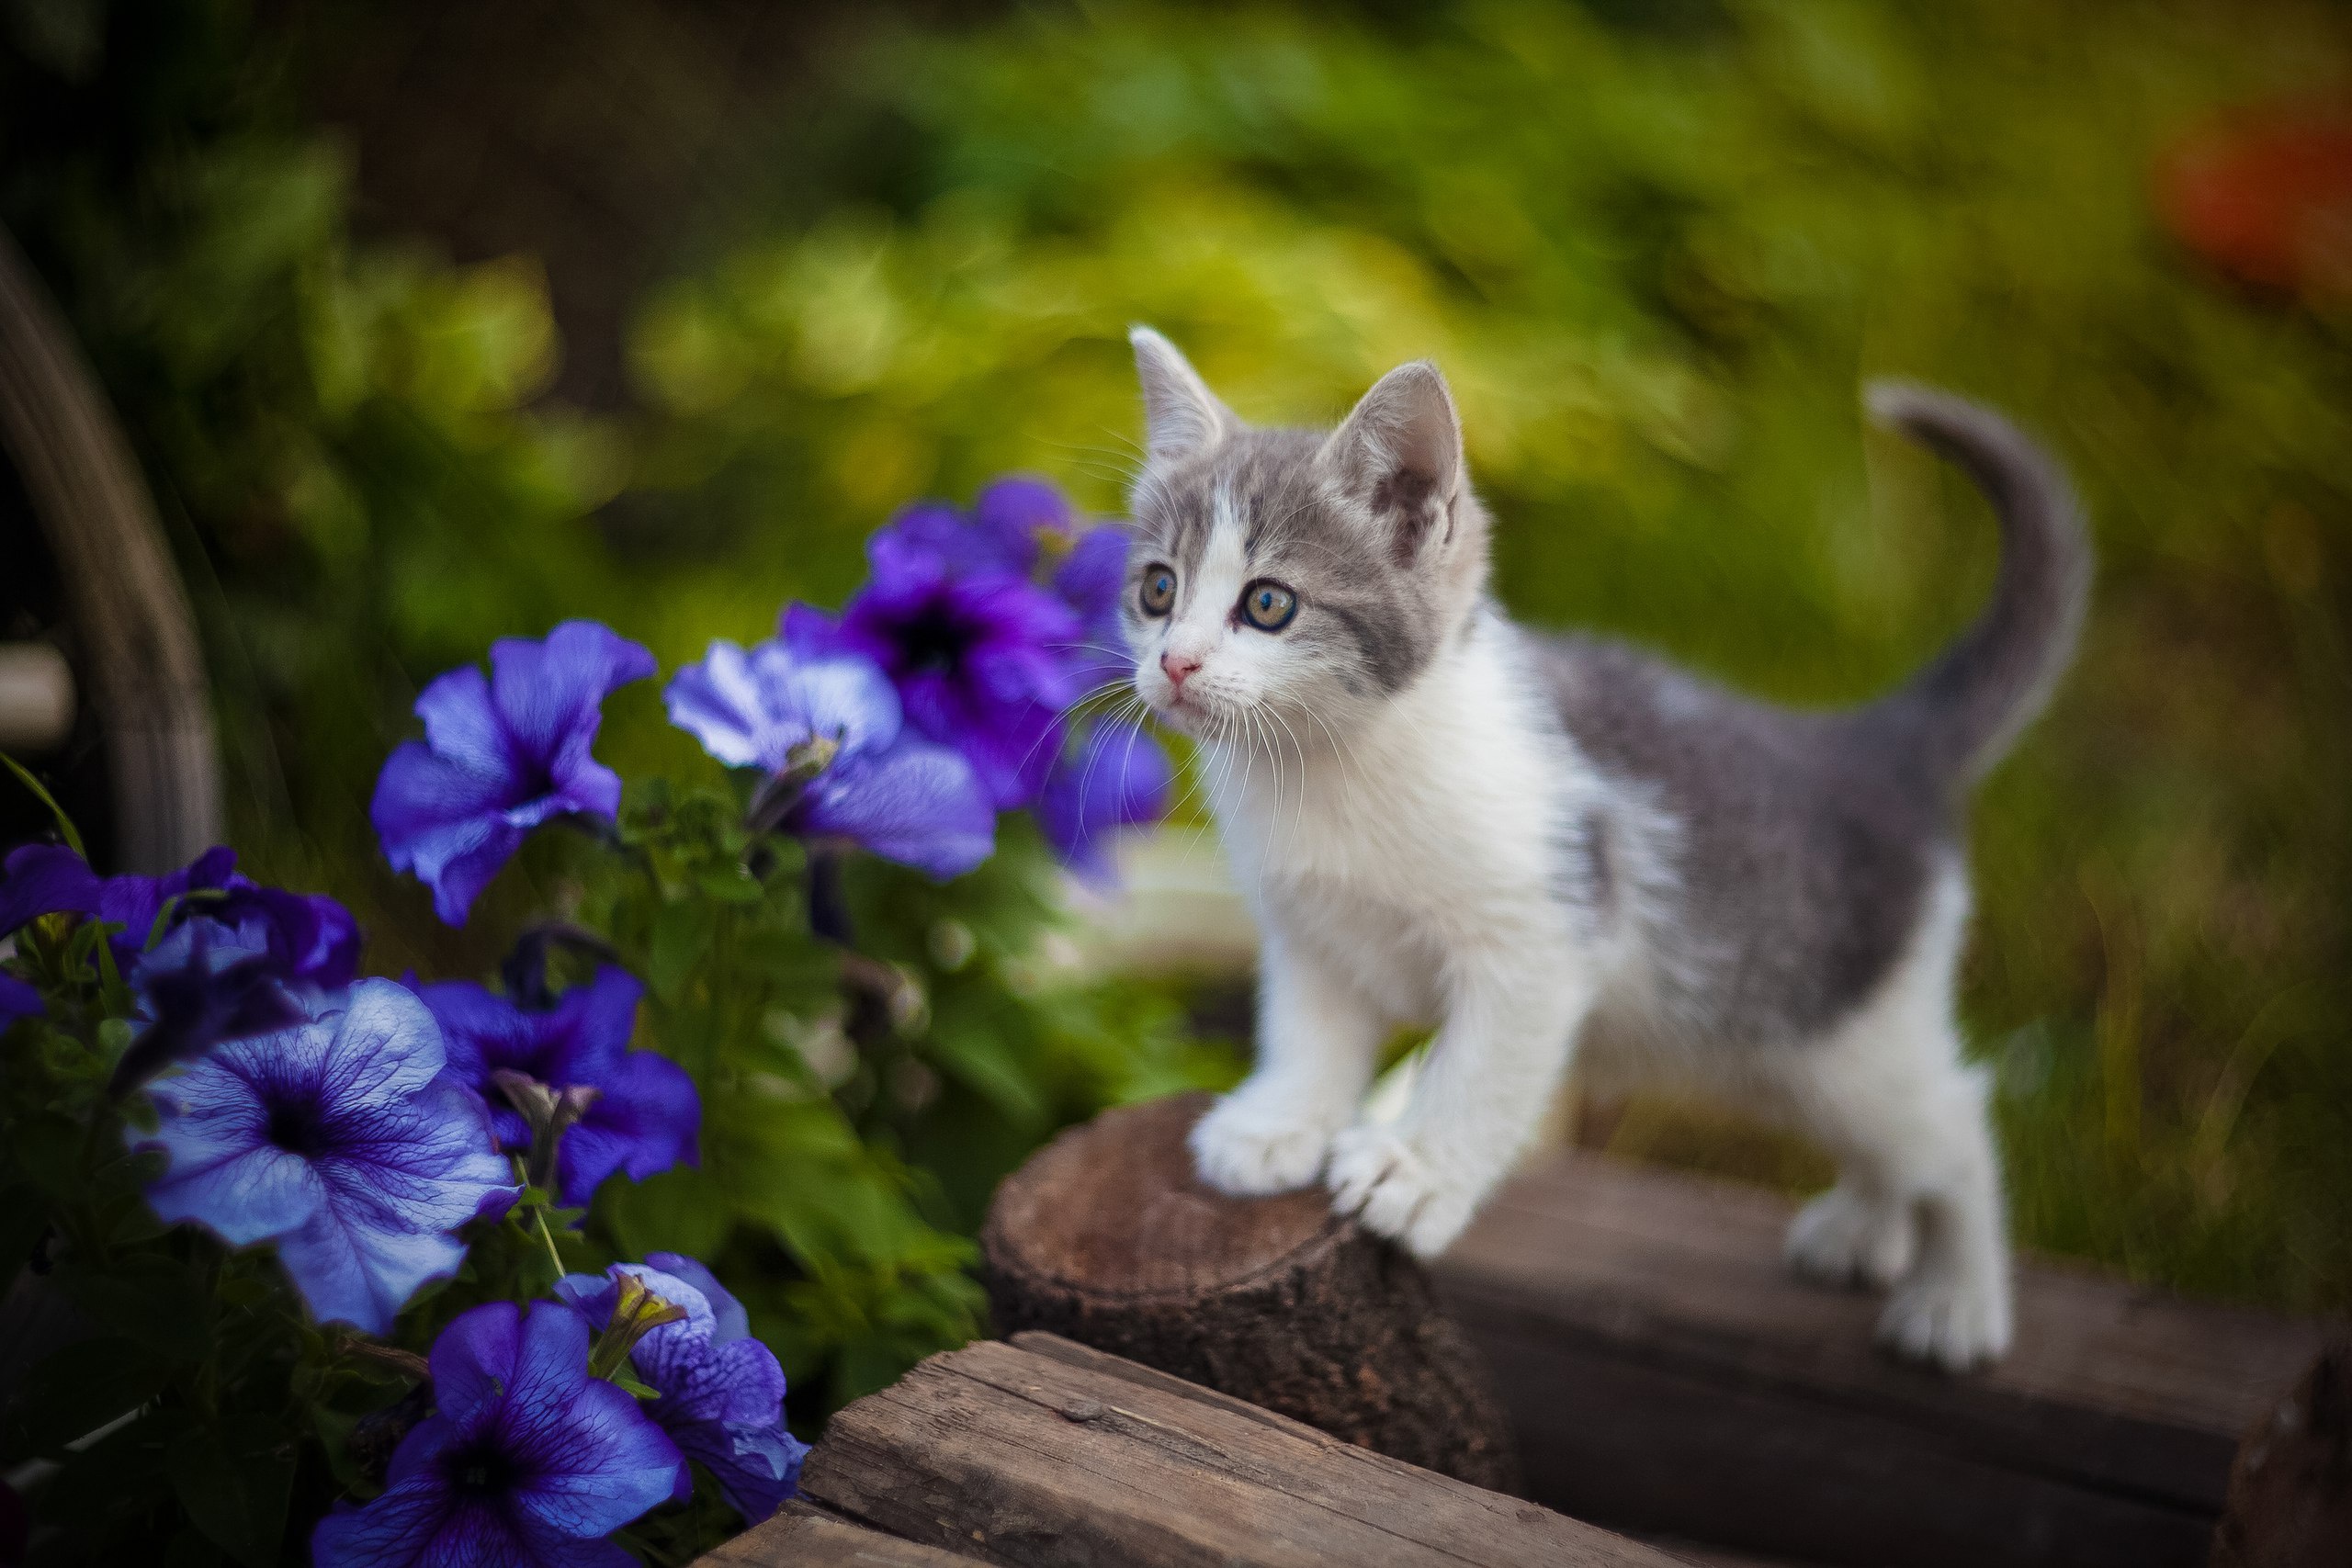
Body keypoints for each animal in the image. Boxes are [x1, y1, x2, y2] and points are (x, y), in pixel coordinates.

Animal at [1124, 324, 2098, 1363]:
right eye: (1157, 589)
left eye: (1268, 604)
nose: (1173, 663)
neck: (1326, 769)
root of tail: (1876, 747)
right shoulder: (1312, 929)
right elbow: (1309, 1029)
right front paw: (1278, 1123)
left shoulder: (1544, 934)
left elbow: (1483, 1065)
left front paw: (1417, 1170)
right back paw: (1865, 1231)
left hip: (1843, 1019)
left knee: (1949, 1121)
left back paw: (1958, 1300)